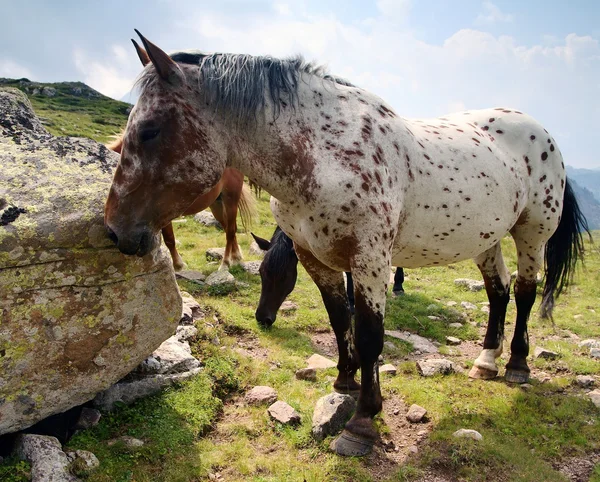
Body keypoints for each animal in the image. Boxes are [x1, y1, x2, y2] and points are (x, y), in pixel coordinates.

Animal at [106, 136, 254, 272]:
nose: (113, 234)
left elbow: (169, 239)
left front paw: (178, 265)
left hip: (230, 200)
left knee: (230, 230)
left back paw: (226, 263)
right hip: (216, 204)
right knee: (229, 227)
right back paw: (236, 256)